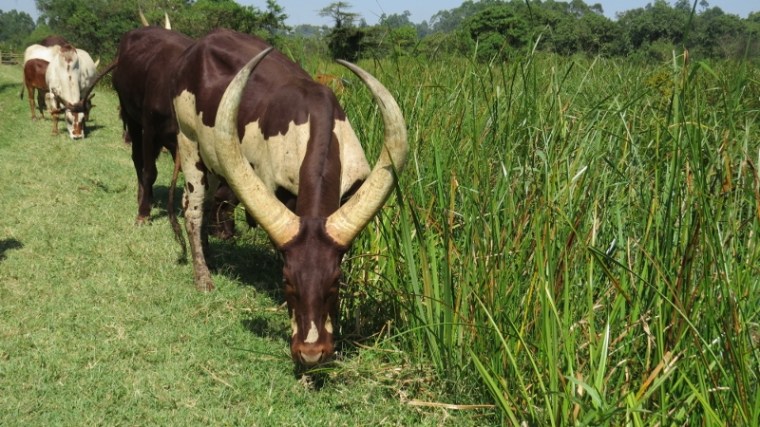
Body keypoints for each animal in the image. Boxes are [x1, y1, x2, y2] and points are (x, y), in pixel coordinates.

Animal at [171, 29, 408, 367]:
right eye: (287, 281)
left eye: (335, 281)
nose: (311, 352)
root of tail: (200, 43)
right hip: (188, 141)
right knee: (192, 210)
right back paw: (203, 277)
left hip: (213, 157)